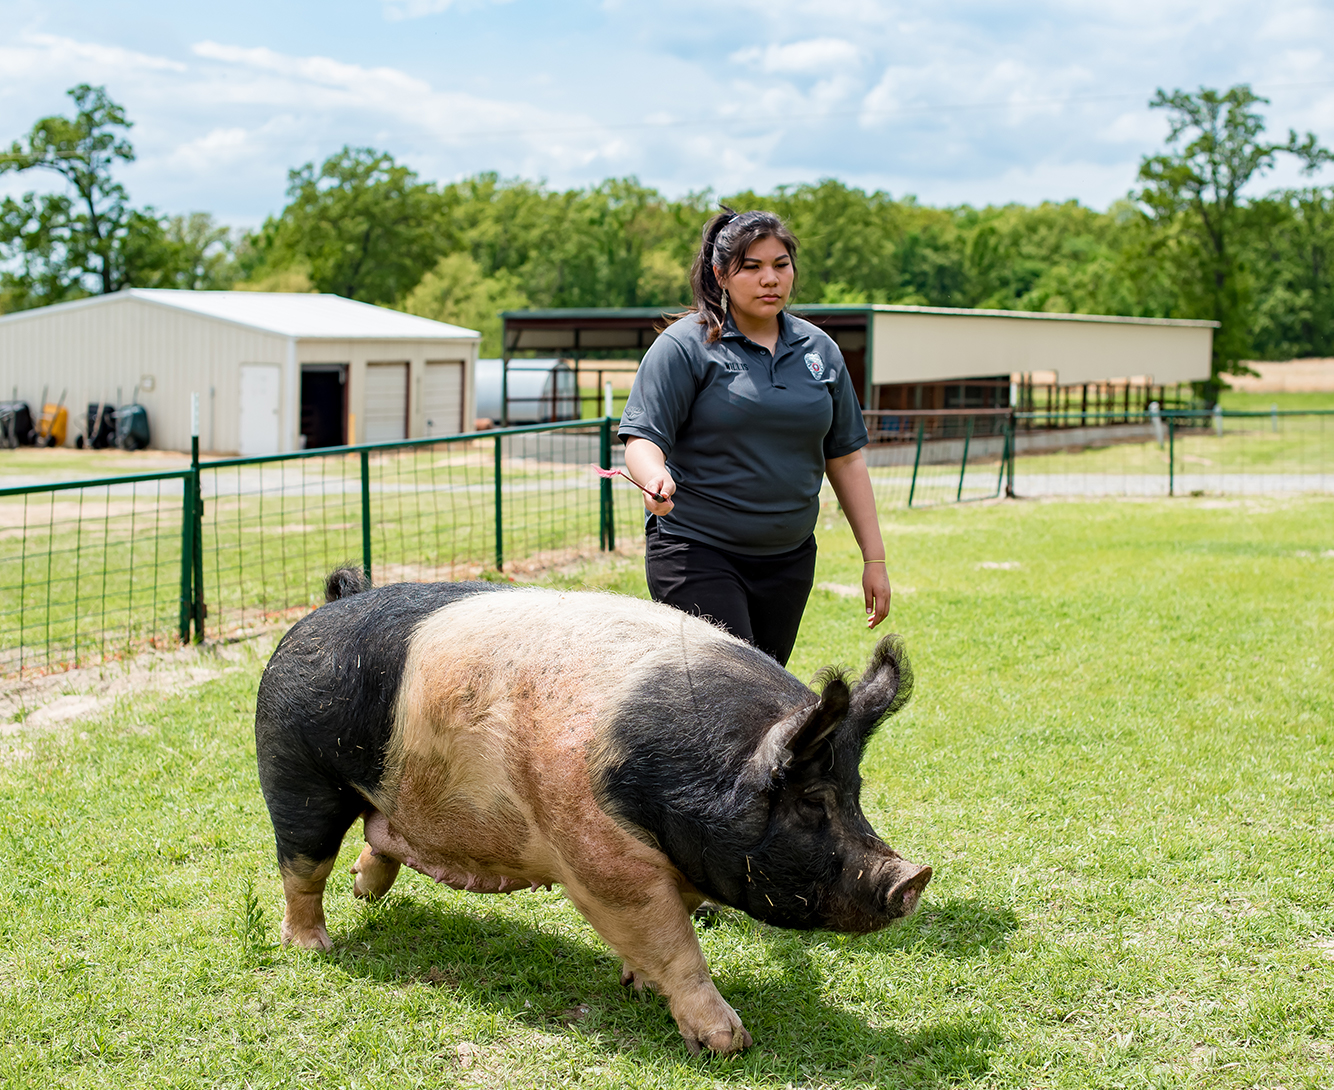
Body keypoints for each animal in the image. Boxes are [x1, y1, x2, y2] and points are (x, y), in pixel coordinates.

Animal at [257, 571, 928, 1056]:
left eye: (855, 791)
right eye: (811, 802)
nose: (914, 877)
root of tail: (328, 604)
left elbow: (667, 931)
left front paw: (638, 988)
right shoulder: (599, 856)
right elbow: (673, 941)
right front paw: (728, 1043)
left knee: (379, 837)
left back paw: (363, 893)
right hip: (294, 769)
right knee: (302, 866)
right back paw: (314, 949)